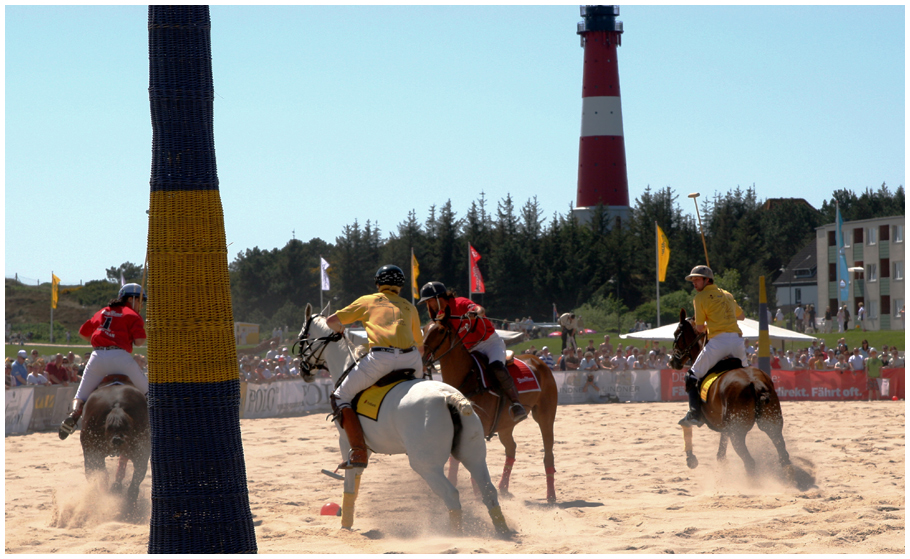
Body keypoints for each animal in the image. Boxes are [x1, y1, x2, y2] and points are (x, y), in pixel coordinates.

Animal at [300, 306, 512, 540]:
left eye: (302, 338)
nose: (303, 369)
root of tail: (449, 397)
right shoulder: (365, 446)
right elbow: (356, 478)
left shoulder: (346, 440)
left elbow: (349, 481)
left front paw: (345, 524)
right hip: (473, 454)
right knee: (488, 489)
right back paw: (503, 532)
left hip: (425, 463)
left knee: (451, 494)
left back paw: (454, 536)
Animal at [424, 316, 560, 504]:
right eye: (424, 328)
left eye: (441, 331)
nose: (422, 357)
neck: (467, 378)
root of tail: (538, 360)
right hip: (506, 423)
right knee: (511, 448)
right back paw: (503, 488)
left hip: (545, 414)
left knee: (548, 452)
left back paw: (551, 495)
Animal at [668, 310, 796, 482]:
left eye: (676, 334)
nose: (672, 361)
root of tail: (756, 384)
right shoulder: (726, 426)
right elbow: (721, 451)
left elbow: (685, 423)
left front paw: (691, 459)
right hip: (772, 423)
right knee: (783, 453)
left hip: (738, 432)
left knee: (750, 462)